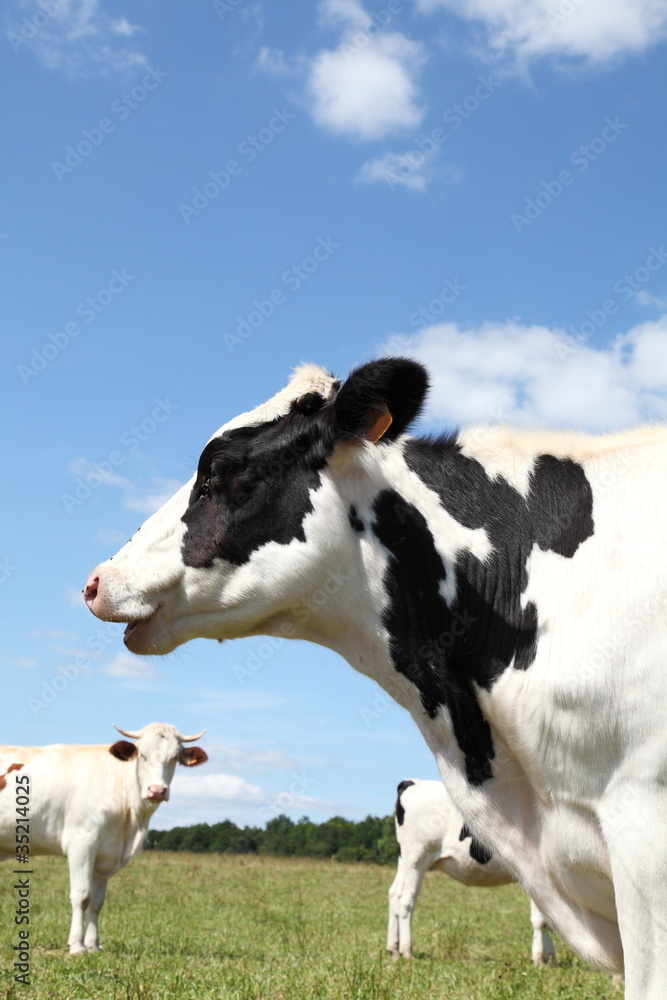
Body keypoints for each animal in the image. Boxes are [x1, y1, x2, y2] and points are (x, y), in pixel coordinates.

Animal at [0, 724, 207, 948]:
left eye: (174, 757)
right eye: (142, 755)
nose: (157, 790)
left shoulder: (104, 854)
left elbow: (97, 901)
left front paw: (92, 945)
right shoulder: (81, 842)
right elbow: (82, 896)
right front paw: (76, 945)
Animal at [388, 776, 556, 964]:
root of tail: (412, 781)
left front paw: (550, 958)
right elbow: (542, 920)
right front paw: (539, 959)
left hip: (405, 861)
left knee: (395, 894)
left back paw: (393, 949)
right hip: (416, 858)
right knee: (406, 899)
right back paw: (406, 950)